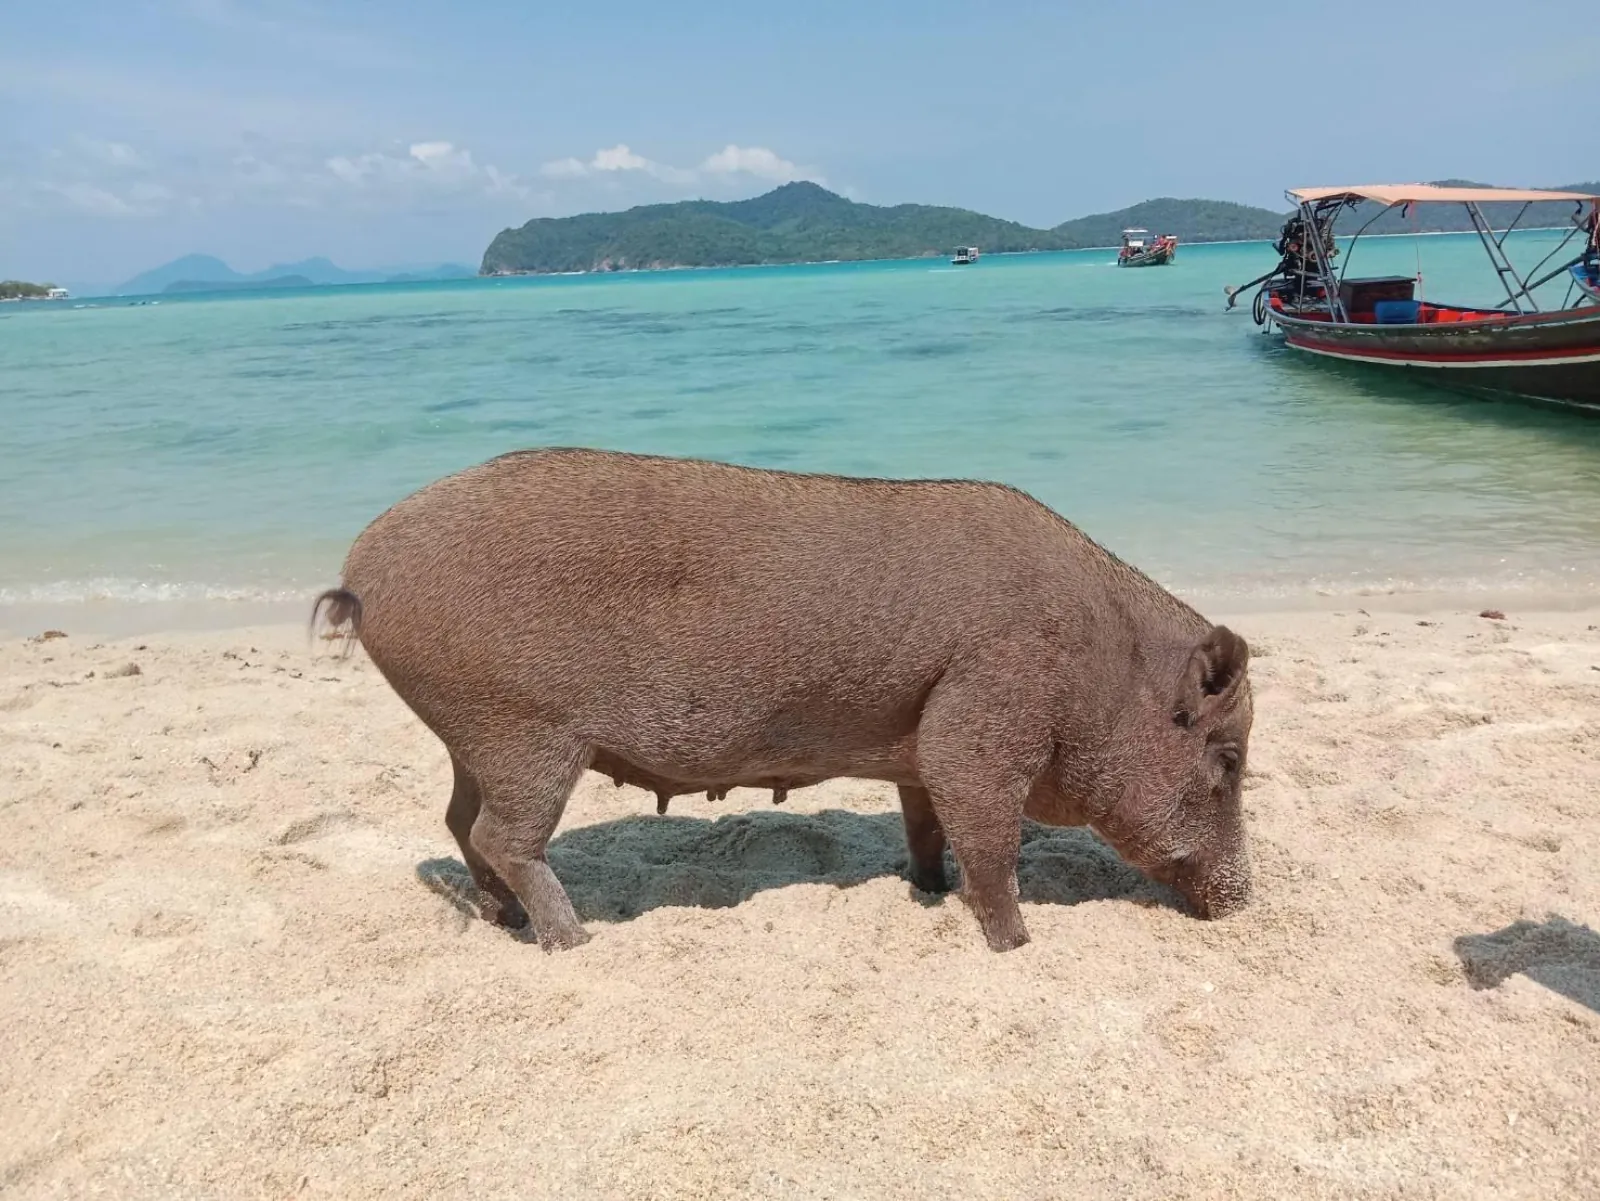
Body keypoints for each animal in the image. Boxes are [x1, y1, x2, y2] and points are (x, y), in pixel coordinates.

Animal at [312, 447, 1254, 953]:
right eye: (1228, 760)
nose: (1249, 900)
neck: (1100, 669)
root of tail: (361, 571)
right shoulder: (982, 720)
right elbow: (991, 843)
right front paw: (1016, 946)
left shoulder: (920, 743)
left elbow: (927, 825)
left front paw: (925, 889)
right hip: (524, 731)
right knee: (502, 835)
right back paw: (575, 941)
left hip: (471, 735)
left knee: (456, 820)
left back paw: (506, 922)